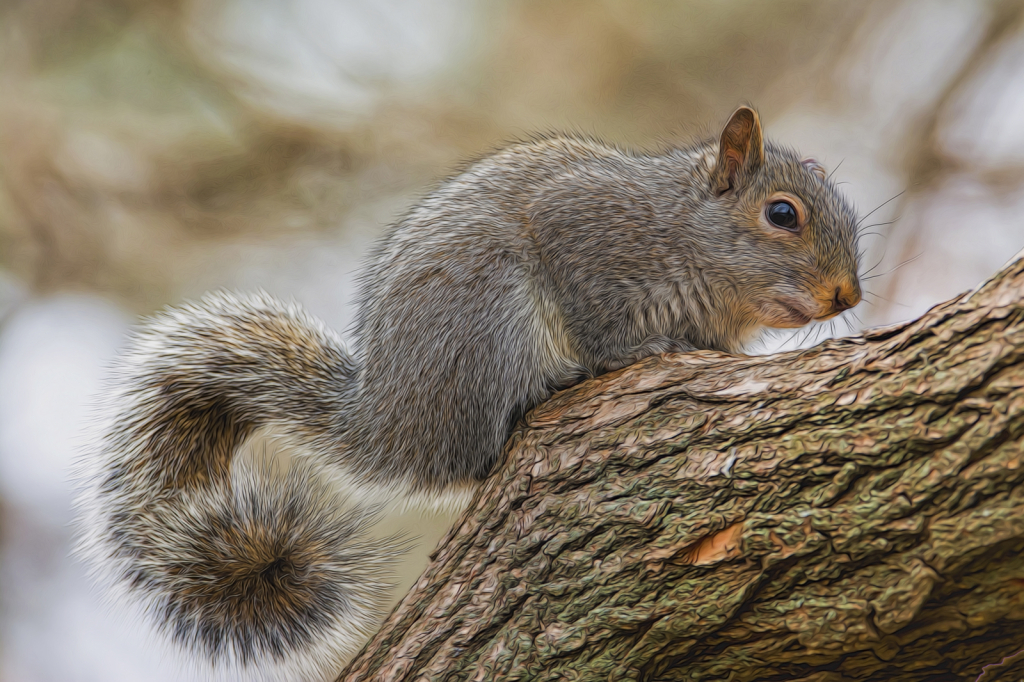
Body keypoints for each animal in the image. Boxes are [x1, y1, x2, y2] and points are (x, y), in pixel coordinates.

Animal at [74, 107, 856, 679]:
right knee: (484, 443)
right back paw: (550, 385)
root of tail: (388, 424)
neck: (683, 235)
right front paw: (634, 351)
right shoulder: (583, 239)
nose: (847, 295)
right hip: (489, 316)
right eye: (782, 214)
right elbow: (598, 321)